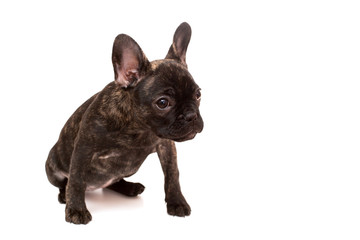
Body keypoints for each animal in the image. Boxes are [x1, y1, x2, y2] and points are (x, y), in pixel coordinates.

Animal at [45, 22, 202, 225]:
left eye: (198, 94)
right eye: (163, 102)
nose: (191, 115)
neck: (139, 127)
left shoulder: (166, 147)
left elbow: (172, 175)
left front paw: (177, 202)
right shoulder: (83, 150)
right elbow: (76, 181)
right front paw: (76, 209)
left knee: (114, 182)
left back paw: (129, 188)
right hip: (52, 167)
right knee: (65, 183)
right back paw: (63, 195)